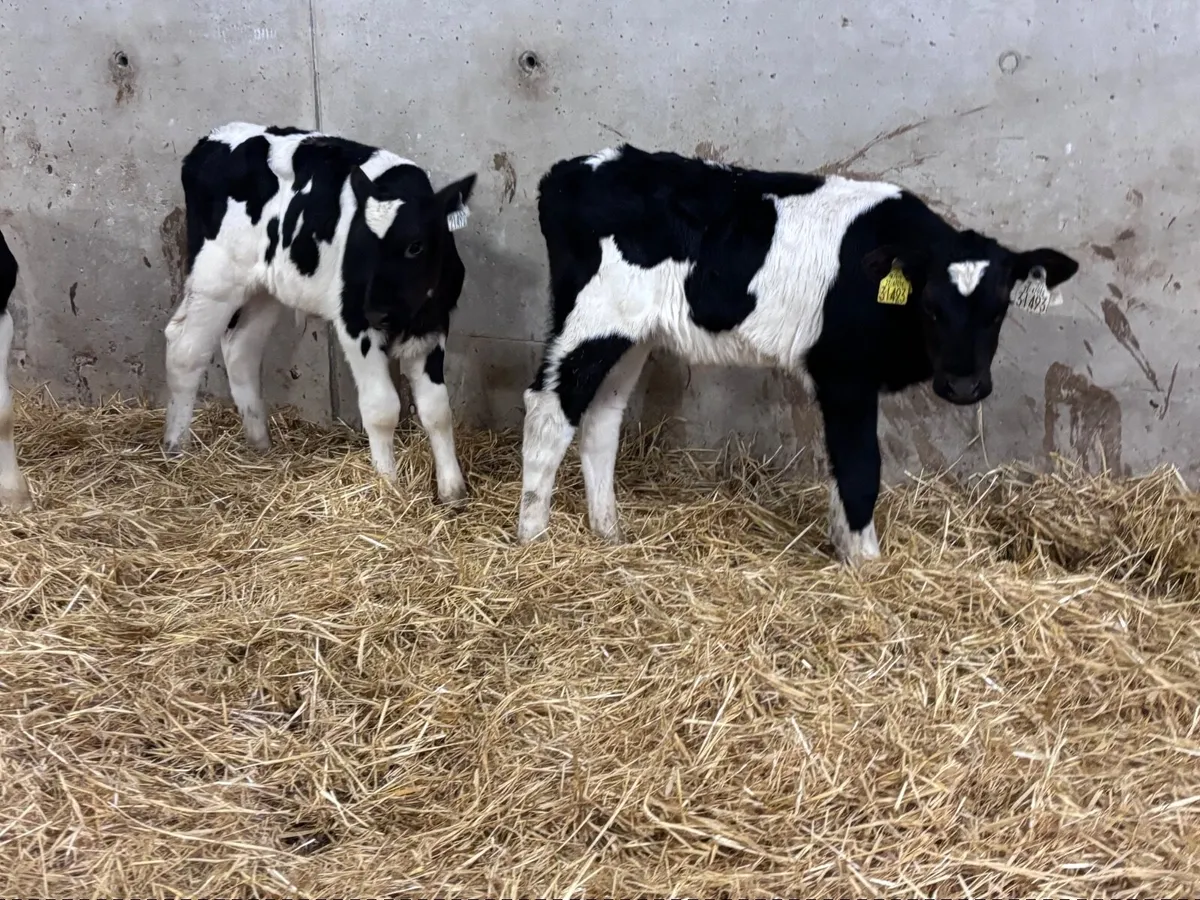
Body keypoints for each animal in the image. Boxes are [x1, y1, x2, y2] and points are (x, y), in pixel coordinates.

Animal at [162, 122, 477, 504]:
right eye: (360, 245)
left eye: (415, 246)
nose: (375, 310)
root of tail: (213, 138)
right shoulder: (354, 324)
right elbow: (382, 408)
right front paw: (387, 487)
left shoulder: (434, 325)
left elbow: (437, 409)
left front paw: (452, 491)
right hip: (215, 279)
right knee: (185, 349)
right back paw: (175, 449)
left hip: (266, 288)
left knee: (241, 349)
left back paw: (260, 445)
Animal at [516, 144, 1079, 564]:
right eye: (931, 306)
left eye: (999, 309)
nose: (964, 386)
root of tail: (569, 170)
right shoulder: (843, 372)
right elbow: (859, 466)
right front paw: (866, 564)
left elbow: (840, 469)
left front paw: (845, 546)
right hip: (592, 318)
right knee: (549, 409)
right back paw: (533, 537)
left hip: (635, 331)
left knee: (601, 418)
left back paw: (609, 533)